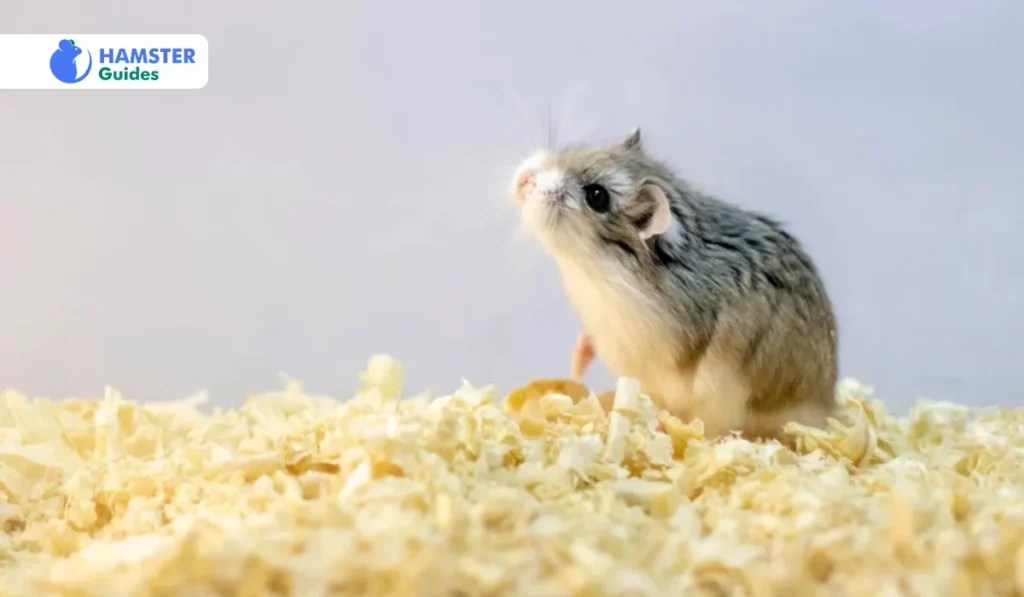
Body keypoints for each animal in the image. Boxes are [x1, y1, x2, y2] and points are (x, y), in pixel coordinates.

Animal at [510, 128, 838, 439]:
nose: (522, 180)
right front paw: (576, 367)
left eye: (597, 196)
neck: (598, 270)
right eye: (577, 149)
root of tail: (826, 408)